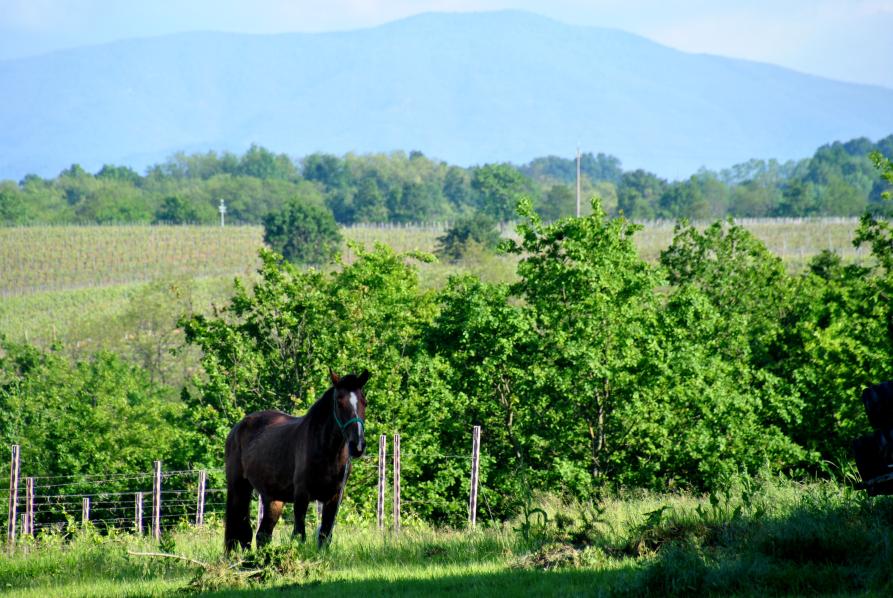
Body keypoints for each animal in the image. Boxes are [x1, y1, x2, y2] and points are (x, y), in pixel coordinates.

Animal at [224, 369, 369, 552]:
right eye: (339, 402)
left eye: (364, 402)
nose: (358, 445)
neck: (326, 451)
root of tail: (238, 427)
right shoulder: (302, 495)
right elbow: (299, 535)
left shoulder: (334, 497)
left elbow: (324, 536)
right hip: (239, 487)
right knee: (239, 532)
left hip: (273, 498)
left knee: (262, 535)